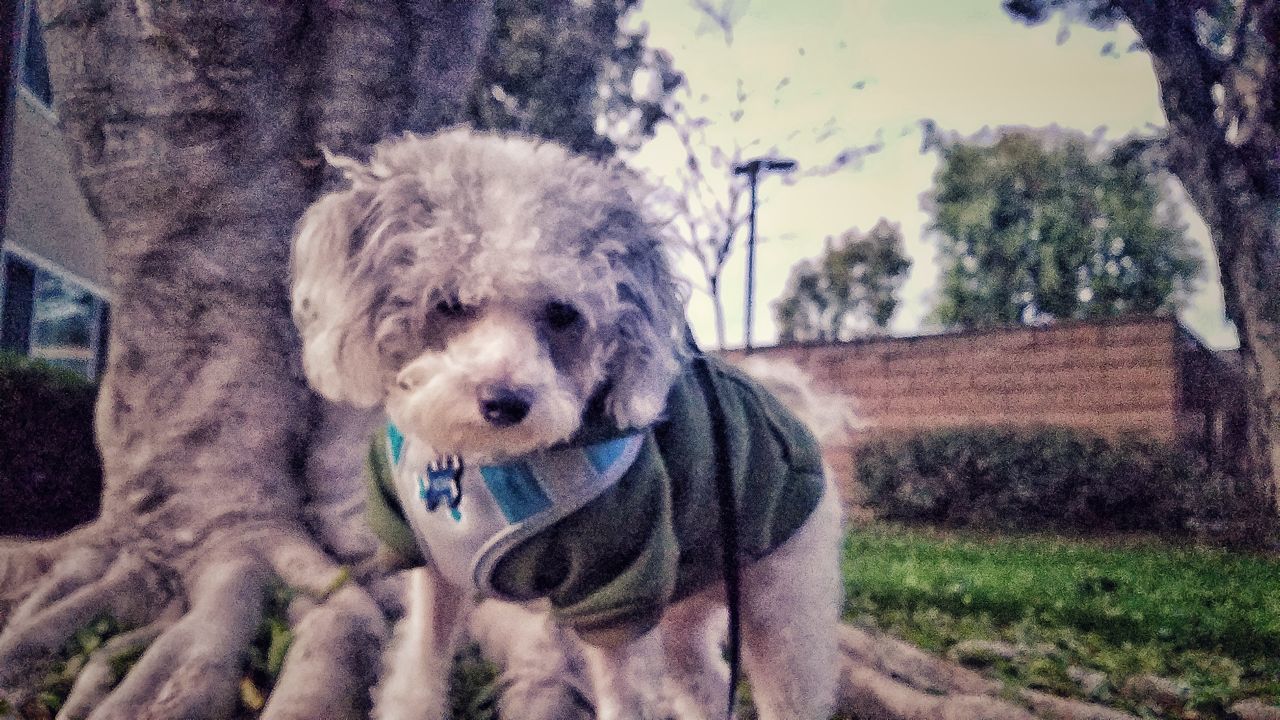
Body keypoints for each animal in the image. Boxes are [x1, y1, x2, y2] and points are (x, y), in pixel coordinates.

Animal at [293, 128, 844, 717]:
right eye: (450, 302)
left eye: (562, 313)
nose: (505, 402)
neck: (483, 464)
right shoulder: (430, 567)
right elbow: (416, 678)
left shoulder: (618, 591)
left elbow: (623, 699)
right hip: (684, 615)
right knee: (709, 685)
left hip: (783, 618)